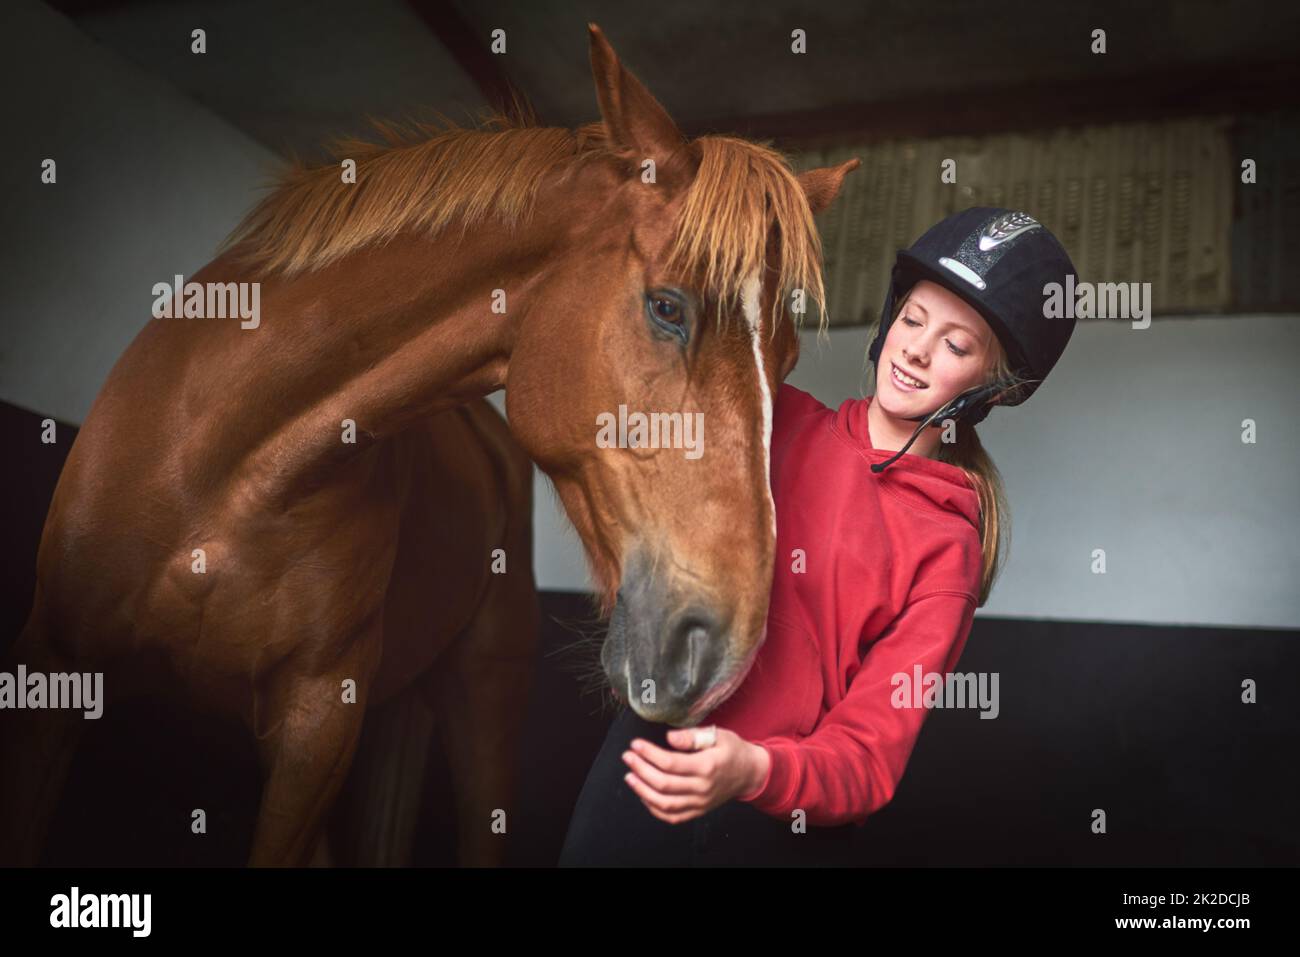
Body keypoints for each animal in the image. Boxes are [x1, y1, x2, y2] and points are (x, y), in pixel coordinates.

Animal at [2, 22, 863, 863]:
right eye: (667, 307)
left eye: (786, 359)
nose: (726, 652)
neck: (227, 466)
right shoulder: (55, 668)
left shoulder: (317, 728)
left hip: (481, 701)